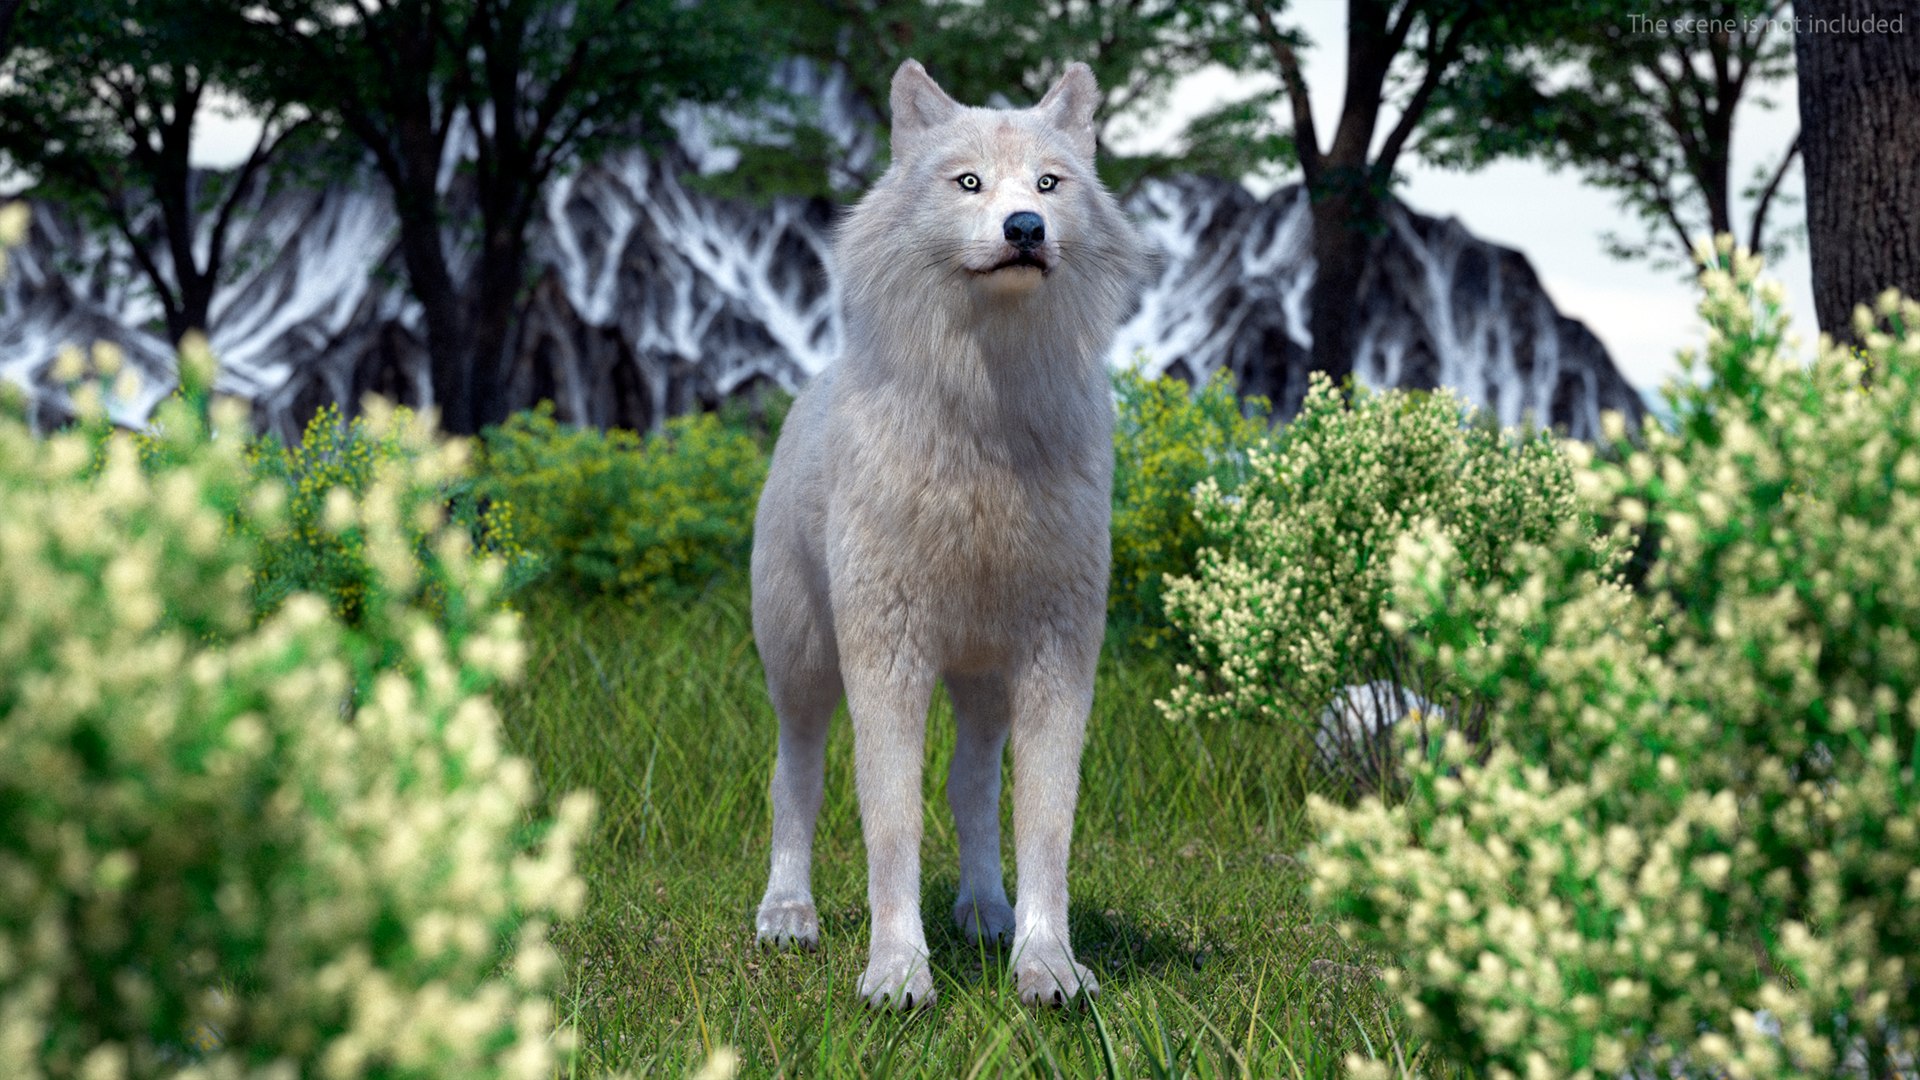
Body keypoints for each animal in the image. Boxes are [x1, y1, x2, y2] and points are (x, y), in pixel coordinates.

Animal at [749, 58, 1149, 1009]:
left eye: (1049, 183)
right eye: (968, 182)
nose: (1024, 228)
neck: (987, 430)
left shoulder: (1056, 658)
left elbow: (1044, 828)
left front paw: (1047, 964)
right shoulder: (887, 658)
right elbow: (891, 826)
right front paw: (897, 974)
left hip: (981, 688)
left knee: (970, 789)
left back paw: (985, 911)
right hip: (804, 671)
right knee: (795, 778)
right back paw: (788, 915)